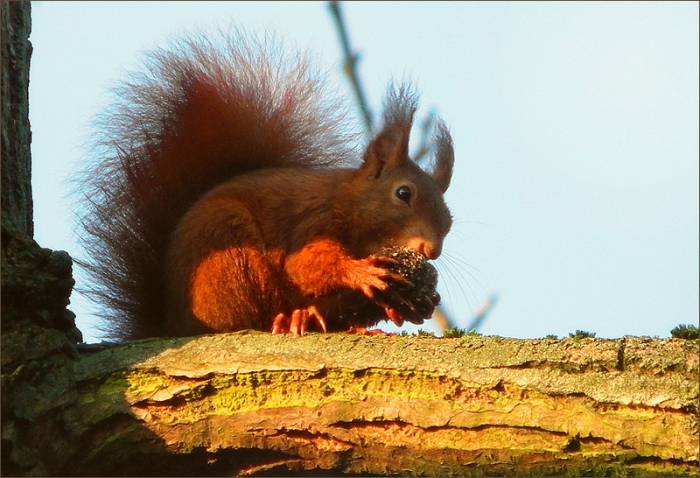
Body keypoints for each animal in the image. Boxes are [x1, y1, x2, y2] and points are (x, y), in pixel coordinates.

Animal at [77, 28, 454, 340]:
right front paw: (361, 272)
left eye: (450, 221)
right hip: (232, 252)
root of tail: (172, 325)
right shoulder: (315, 221)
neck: (351, 205)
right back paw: (289, 318)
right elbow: (305, 266)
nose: (431, 250)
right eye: (403, 193)